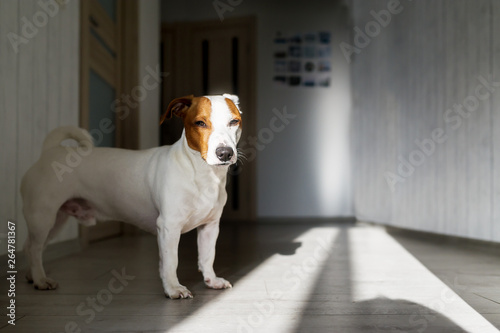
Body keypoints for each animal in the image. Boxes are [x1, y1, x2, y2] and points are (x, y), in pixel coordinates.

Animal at [20, 93, 243, 298]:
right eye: (200, 123)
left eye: (234, 121)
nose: (225, 153)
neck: (201, 173)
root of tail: (49, 152)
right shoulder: (169, 227)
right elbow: (171, 262)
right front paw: (173, 288)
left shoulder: (210, 226)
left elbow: (207, 256)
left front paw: (211, 280)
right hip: (43, 217)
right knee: (34, 248)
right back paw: (40, 279)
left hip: (55, 221)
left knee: (31, 246)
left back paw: (32, 275)